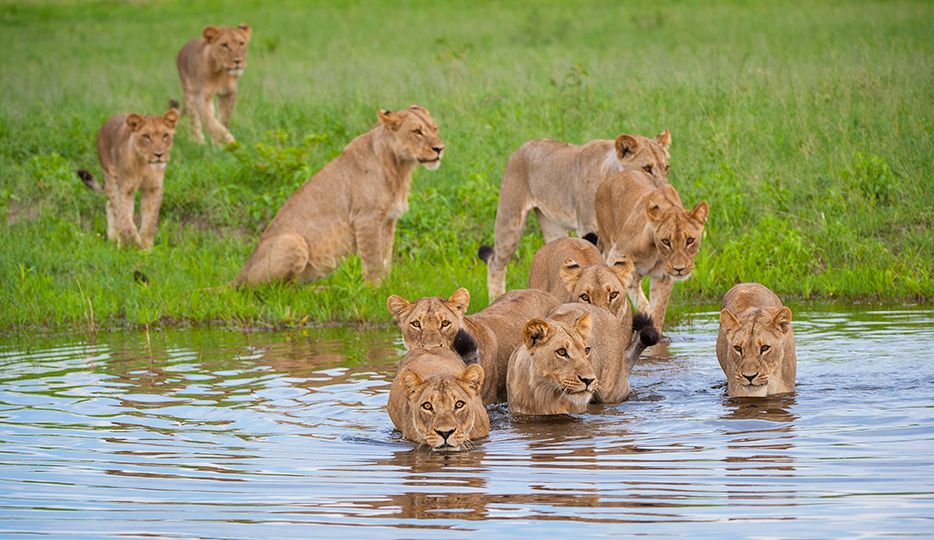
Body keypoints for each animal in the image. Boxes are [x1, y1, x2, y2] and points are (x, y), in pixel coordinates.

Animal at [77, 104, 180, 250]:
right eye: (146, 136)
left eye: (165, 135)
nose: (159, 154)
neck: (144, 165)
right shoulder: (125, 189)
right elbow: (125, 218)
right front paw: (134, 244)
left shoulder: (153, 189)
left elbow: (150, 220)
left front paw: (146, 247)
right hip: (110, 178)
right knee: (114, 207)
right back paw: (117, 239)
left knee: (110, 206)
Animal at [239, 105, 448, 286]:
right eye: (417, 131)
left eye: (435, 128)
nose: (440, 149)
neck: (400, 167)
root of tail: (239, 275)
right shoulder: (366, 218)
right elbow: (373, 259)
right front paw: (375, 290)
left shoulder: (389, 220)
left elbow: (385, 256)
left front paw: (388, 286)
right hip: (293, 241)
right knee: (277, 290)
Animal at [478, 129, 668, 302]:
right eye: (647, 168)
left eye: (666, 167)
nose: (663, 191)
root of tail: (522, 147)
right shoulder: (588, 229)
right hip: (510, 222)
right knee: (495, 263)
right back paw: (496, 298)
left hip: (552, 227)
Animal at [600, 171, 708, 336]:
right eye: (666, 241)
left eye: (690, 240)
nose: (679, 269)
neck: (655, 252)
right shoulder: (616, 257)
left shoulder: (663, 277)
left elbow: (658, 311)